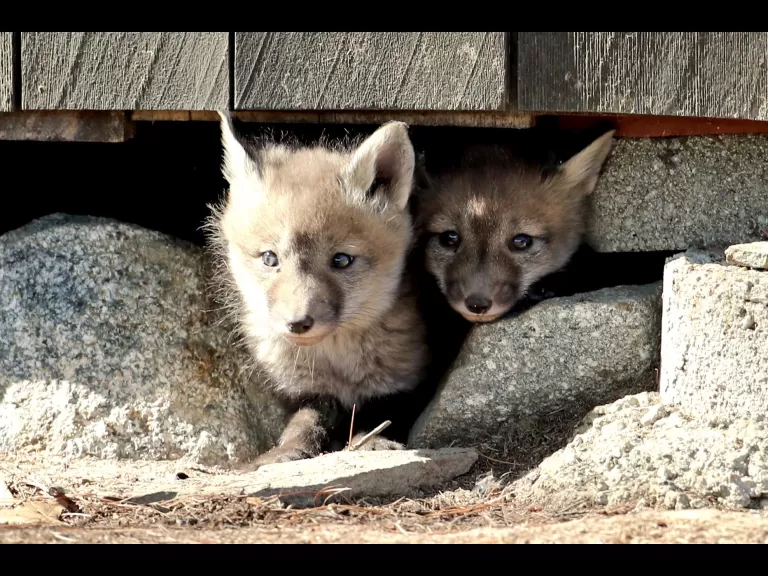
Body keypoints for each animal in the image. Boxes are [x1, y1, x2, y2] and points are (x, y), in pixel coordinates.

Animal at [205, 112, 430, 469]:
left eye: (341, 260)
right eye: (270, 258)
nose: (298, 323)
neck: (337, 364)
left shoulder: (405, 381)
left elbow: (381, 415)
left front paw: (374, 441)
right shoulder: (307, 391)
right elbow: (305, 422)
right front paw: (283, 453)